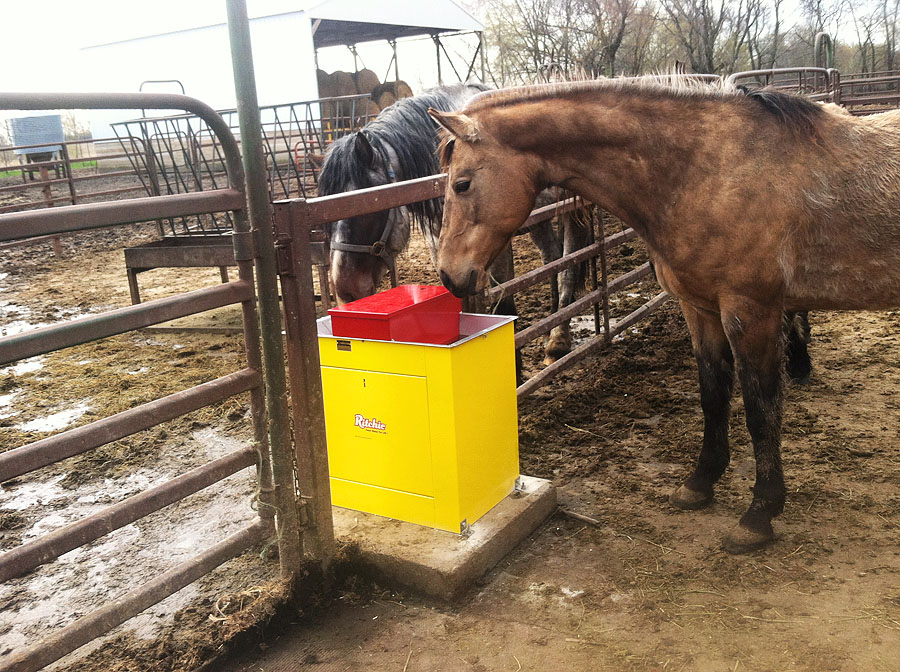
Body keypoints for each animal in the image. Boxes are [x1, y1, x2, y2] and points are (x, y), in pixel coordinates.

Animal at [428, 77, 900, 552]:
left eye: (462, 184)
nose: (450, 275)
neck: (706, 172)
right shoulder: (701, 309)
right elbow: (713, 394)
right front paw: (700, 483)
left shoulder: (751, 311)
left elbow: (760, 408)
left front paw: (760, 514)